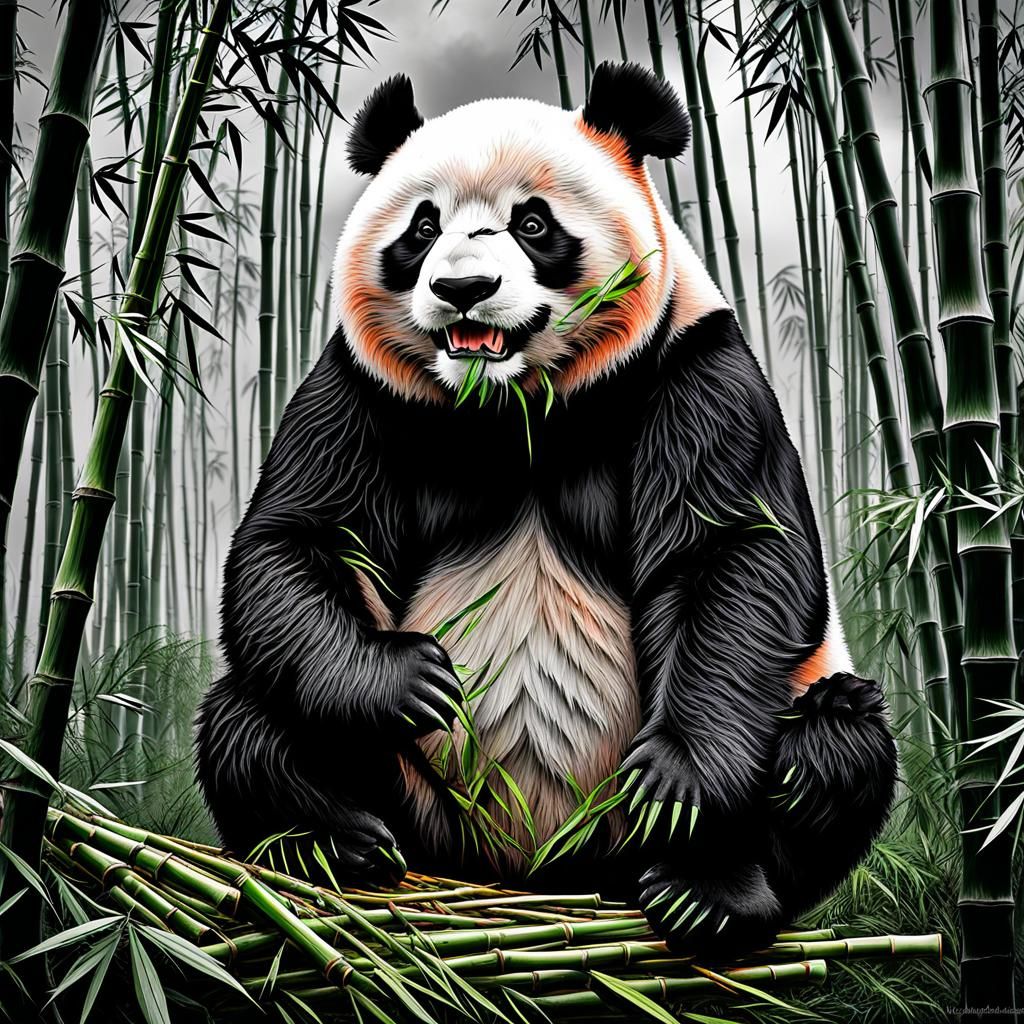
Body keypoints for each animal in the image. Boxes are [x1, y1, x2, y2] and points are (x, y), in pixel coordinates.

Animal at [196, 62, 897, 955]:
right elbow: (298, 539)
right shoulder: (361, 386)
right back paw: (337, 843)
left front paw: (678, 783)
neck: (513, 408)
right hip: (413, 789)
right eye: (422, 228)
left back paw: (707, 891)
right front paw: (412, 680)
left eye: (532, 224)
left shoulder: (695, 368)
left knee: (833, 751)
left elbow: (729, 556)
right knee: (248, 716)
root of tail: (531, 872)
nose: (463, 290)